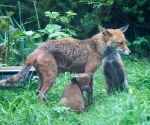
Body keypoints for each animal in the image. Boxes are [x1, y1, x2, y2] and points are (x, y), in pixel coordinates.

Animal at [0, 24, 131, 104]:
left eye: (125, 42)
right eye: (120, 43)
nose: (130, 52)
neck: (96, 47)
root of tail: (36, 50)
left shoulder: (82, 73)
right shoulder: (89, 72)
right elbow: (90, 91)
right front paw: (90, 104)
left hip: (42, 79)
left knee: (37, 94)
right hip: (51, 78)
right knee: (40, 96)